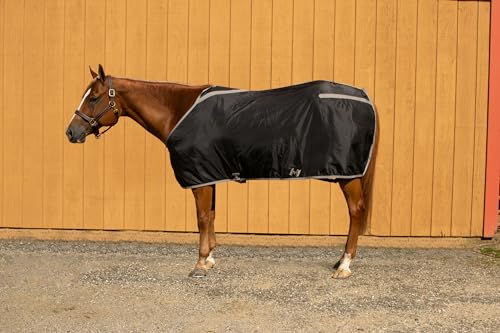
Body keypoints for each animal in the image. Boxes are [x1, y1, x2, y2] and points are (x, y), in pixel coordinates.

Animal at [67, 65, 378, 278]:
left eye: (93, 98)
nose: (71, 132)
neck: (179, 111)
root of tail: (365, 97)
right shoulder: (209, 173)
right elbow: (211, 215)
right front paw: (211, 258)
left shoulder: (199, 176)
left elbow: (202, 218)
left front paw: (200, 263)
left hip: (349, 176)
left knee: (356, 211)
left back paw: (344, 265)